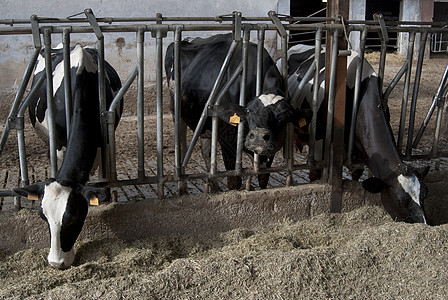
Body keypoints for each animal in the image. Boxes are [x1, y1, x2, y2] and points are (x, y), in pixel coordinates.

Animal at [164, 33, 300, 192]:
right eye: (248, 111)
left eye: (285, 114)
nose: (259, 136)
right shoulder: (227, 138)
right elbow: (234, 180)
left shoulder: (270, 149)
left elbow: (263, 177)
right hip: (176, 112)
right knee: (182, 148)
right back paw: (182, 187)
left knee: (206, 151)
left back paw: (214, 186)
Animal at [284, 44, 430, 223]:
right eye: (400, 202)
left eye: (424, 195)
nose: (424, 224)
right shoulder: (318, 148)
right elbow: (315, 176)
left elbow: (356, 176)